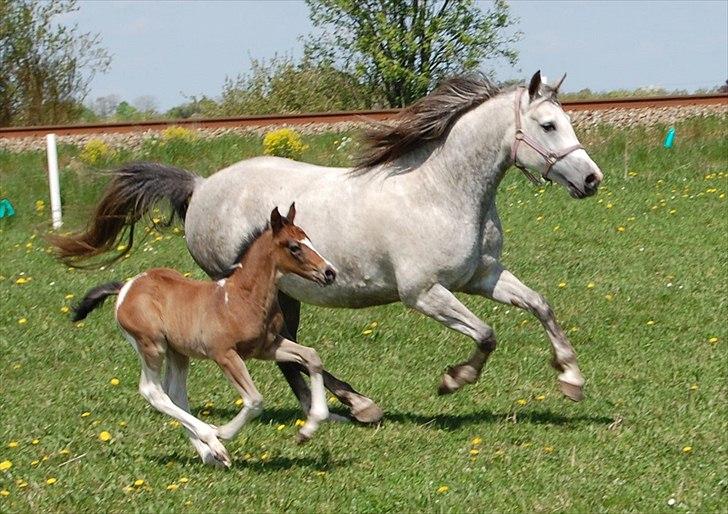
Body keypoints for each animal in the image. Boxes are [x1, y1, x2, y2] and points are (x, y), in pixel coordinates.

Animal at [51, 72, 604, 430]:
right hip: (263, 287)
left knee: (289, 352)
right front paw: (453, 380)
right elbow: (486, 335)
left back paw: (339, 408)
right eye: (549, 125)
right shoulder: (424, 293)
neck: (443, 193)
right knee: (285, 354)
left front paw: (571, 378)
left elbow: (541, 305)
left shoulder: (482, 277)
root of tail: (201, 186)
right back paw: (355, 407)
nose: (591, 179)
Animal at [74, 202, 336, 466]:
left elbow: (311, 356)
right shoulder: (224, 354)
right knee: (153, 392)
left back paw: (210, 454)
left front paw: (308, 430)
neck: (241, 298)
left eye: (309, 239)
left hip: (177, 352)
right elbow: (254, 400)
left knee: (175, 393)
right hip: (151, 346)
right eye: (294, 247)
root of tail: (126, 287)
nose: (329, 272)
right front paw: (222, 432)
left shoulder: (267, 347)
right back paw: (212, 440)